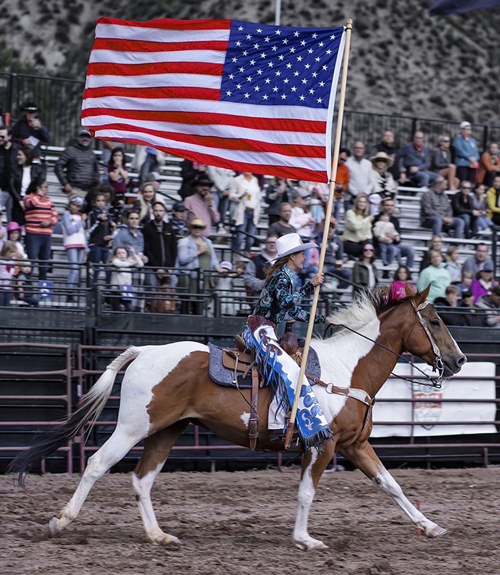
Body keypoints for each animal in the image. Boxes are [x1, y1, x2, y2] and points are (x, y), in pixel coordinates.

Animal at [10, 286, 464, 552]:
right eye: (435, 321)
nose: (459, 360)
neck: (347, 370)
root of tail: (143, 351)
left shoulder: (355, 445)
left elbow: (391, 484)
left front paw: (429, 526)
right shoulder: (325, 445)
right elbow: (306, 493)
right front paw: (304, 539)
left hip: (168, 430)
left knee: (142, 479)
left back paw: (158, 535)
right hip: (134, 426)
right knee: (97, 464)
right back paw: (61, 520)